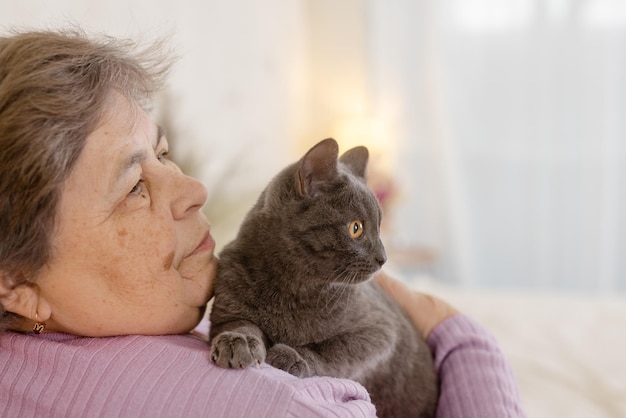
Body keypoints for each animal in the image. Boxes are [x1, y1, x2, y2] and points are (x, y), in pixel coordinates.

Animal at [207, 139, 436, 416]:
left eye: (379, 227)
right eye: (356, 228)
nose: (384, 258)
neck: (292, 287)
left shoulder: (381, 330)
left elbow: (336, 349)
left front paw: (295, 357)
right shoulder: (227, 306)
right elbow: (241, 323)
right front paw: (237, 342)